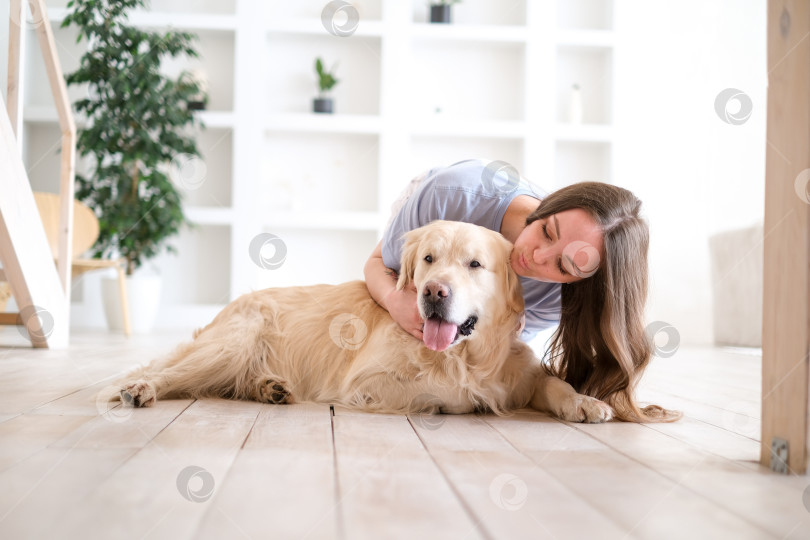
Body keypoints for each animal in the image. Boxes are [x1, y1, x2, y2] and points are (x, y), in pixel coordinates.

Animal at [110, 219, 608, 422]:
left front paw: (585, 403)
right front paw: (466, 399)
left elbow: (553, 384)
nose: (433, 292)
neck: (464, 354)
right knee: (173, 373)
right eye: (428, 259)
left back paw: (270, 387)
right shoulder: (366, 383)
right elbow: (446, 394)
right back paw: (141, 389)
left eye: (474, 264)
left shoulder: (521, 373)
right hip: (231, 343)